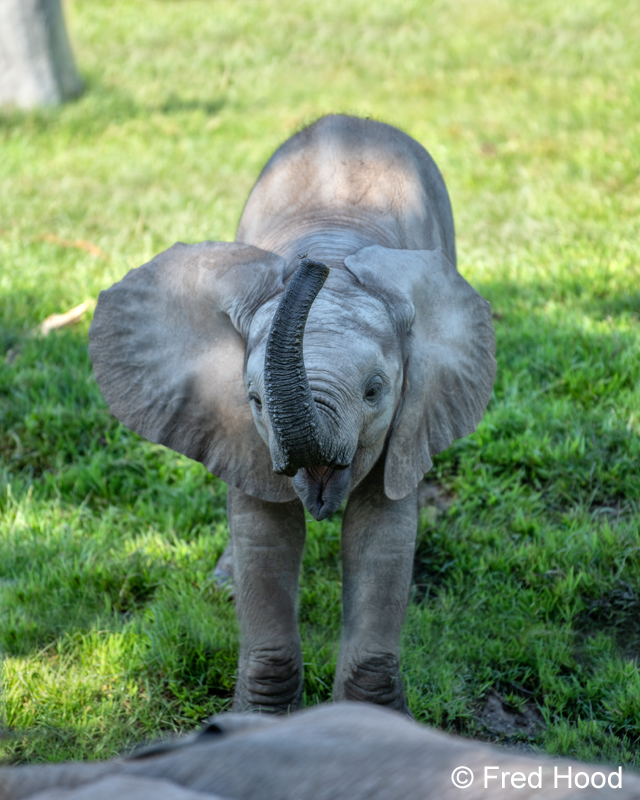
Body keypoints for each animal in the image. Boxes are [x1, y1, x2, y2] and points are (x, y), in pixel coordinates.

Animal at [88, 114, 497, 714]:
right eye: (255, 399)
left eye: (375, 391)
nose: (312, 269)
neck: (333, 239)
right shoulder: (242, 431)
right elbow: (264, 534)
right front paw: (258, 721)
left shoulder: (406, 420)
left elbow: (383, 535)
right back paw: (224, 583)